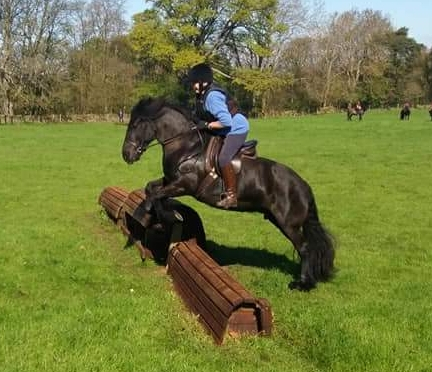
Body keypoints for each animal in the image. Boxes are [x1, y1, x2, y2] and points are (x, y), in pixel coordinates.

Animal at [122, 97, 338, 292]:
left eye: (136, 125)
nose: (126, 155)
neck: (186, 146)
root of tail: (304, 186)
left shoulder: (184, 186)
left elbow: (155, 196)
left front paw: (161, 216)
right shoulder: (171, 181)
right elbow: (151, 189)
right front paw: (158, 214)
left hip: (288, 224)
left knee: (305, 249)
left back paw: (303, 284)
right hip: (277, 219)